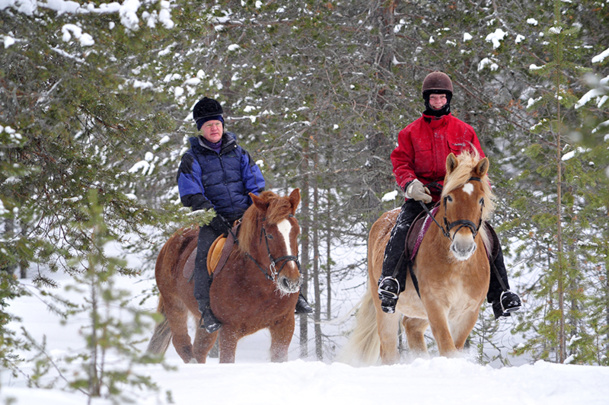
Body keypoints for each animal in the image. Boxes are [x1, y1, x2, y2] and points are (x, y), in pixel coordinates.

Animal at [145, 189, 302, 362]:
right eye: (269, 235)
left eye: (297, 232)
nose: (291, 281)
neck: (259, 288)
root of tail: (171, 241)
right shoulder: (229, 331)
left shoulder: (284, 325)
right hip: (174, 305)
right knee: (183, 345)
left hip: (204, 323)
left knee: (199, 349)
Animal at [342, 151, 494, 362]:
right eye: (449, 198)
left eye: (480, 200)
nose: (463, 246)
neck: (458, 267)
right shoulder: (435, 305)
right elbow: (447, 347)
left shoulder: (468, 313)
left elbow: (455, 347)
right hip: (386, 307)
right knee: (388, 348)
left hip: (417, 312)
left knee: (411, 327)